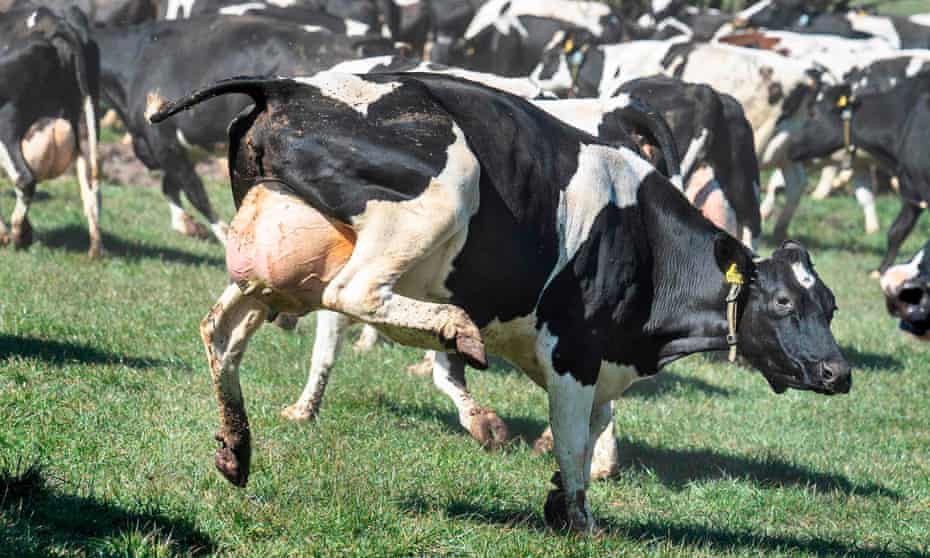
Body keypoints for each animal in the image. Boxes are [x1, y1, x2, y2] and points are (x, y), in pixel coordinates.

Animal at [0, 5, 101, 256]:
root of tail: (57, 20)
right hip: (87, 116)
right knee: (92, 180)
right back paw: (95, 250)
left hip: (6, 121)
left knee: (24, 178)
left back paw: (15, 236)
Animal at [149, 71, 852, 532]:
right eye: (783, 302)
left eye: (831, 306)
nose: (837, 372)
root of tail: (288, 86)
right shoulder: (575, 352)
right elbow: (571, 439)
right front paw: (576, 519)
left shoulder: (603, 364)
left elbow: (589, 432)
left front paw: (564, 500)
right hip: (437, 196)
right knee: (351, 294)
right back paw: (450, 329)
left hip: (269, 271)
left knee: (220, 334)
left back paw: (236, 448)